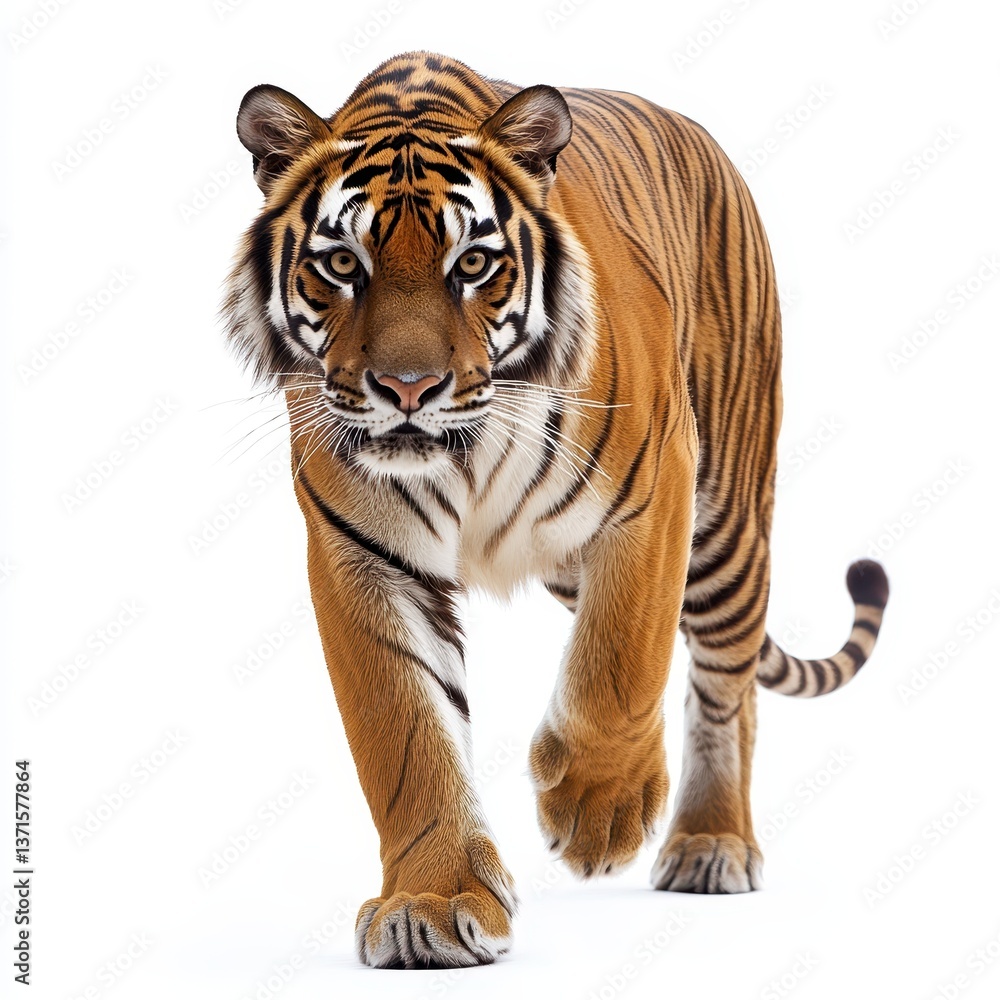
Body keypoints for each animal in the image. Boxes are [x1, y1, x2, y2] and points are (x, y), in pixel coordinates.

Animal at [223, 50, 889, 969]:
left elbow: (621, 661)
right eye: (343, 265)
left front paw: (597, 811)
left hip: (724, 523)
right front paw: (431, 904)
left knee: (728, 676)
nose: (406, 389)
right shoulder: (365, 553)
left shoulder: (654, 494)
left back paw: (711, 842)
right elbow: (406, 735)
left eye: (472, 264)